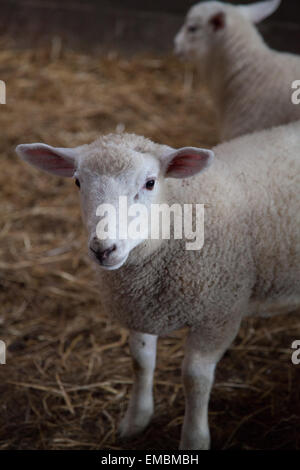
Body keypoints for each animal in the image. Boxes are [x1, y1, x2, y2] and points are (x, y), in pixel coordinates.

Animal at [15, 122, 300, 452]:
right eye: (77, 182)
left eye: (150, 183)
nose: (103, 249)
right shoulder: (139, 307)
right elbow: (140, 362)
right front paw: (136, 419)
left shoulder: (219, 314)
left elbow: (195, 378)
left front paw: (194, 439)